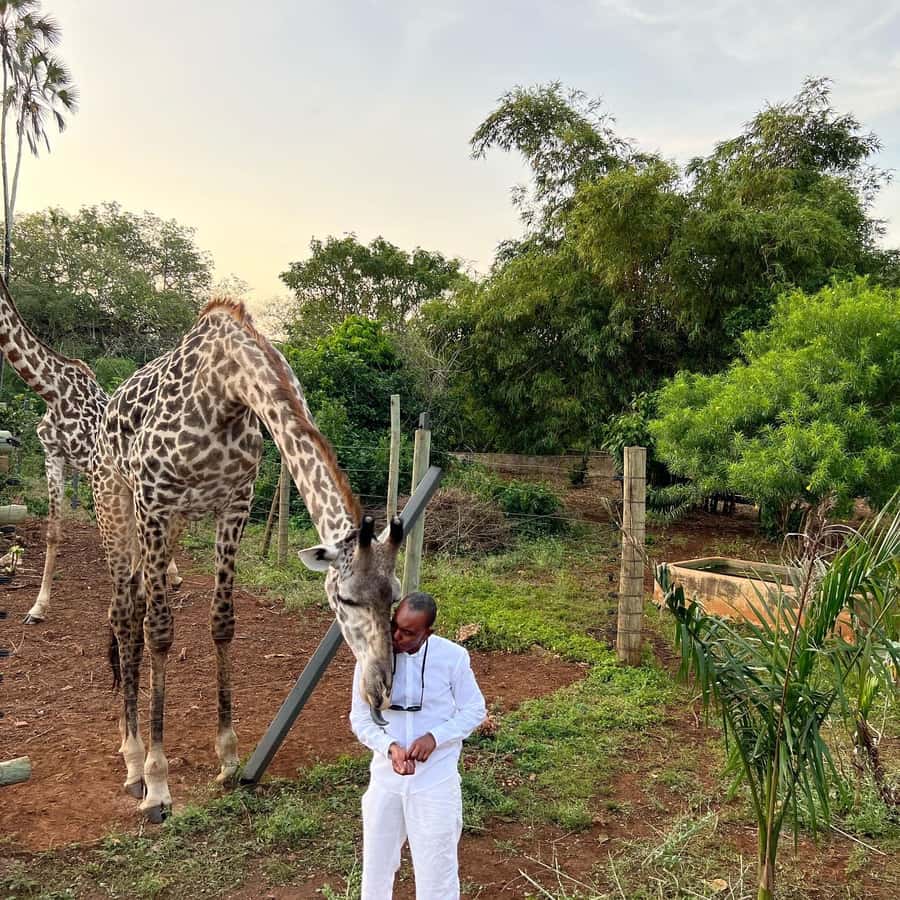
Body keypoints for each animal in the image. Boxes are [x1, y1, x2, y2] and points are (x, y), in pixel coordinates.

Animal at [91, 297, 404, 822]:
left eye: (395, 597)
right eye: (345, 599)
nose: (381, 686)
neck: (225, 387)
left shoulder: (235, 500)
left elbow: (223, 622)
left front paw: (229, 759)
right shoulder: (155, 500)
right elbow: (161, 631)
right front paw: (158, 783)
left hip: (172, 524)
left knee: (131, 603)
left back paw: (128, 745)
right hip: (116, 503)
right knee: (123, 609)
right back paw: (133, 760)